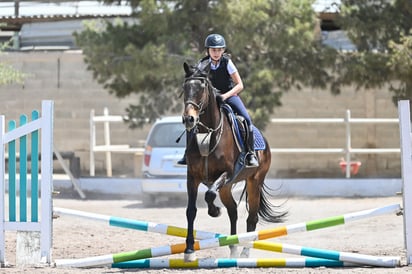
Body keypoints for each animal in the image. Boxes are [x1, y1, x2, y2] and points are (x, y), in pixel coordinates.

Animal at [180, 62, 286, 262]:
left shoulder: (226, 173)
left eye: (202, 88)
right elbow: (191, 211)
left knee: (251, 217)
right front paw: (189, 250)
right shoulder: (192, 177)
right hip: (227, 187)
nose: (189, 119)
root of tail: (265, 142)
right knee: (233, 211)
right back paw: (234, 247)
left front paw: (214, 211)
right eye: (185, 88)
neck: (207, 134)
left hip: (254, 182)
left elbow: (209, 195)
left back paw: (244, 251)